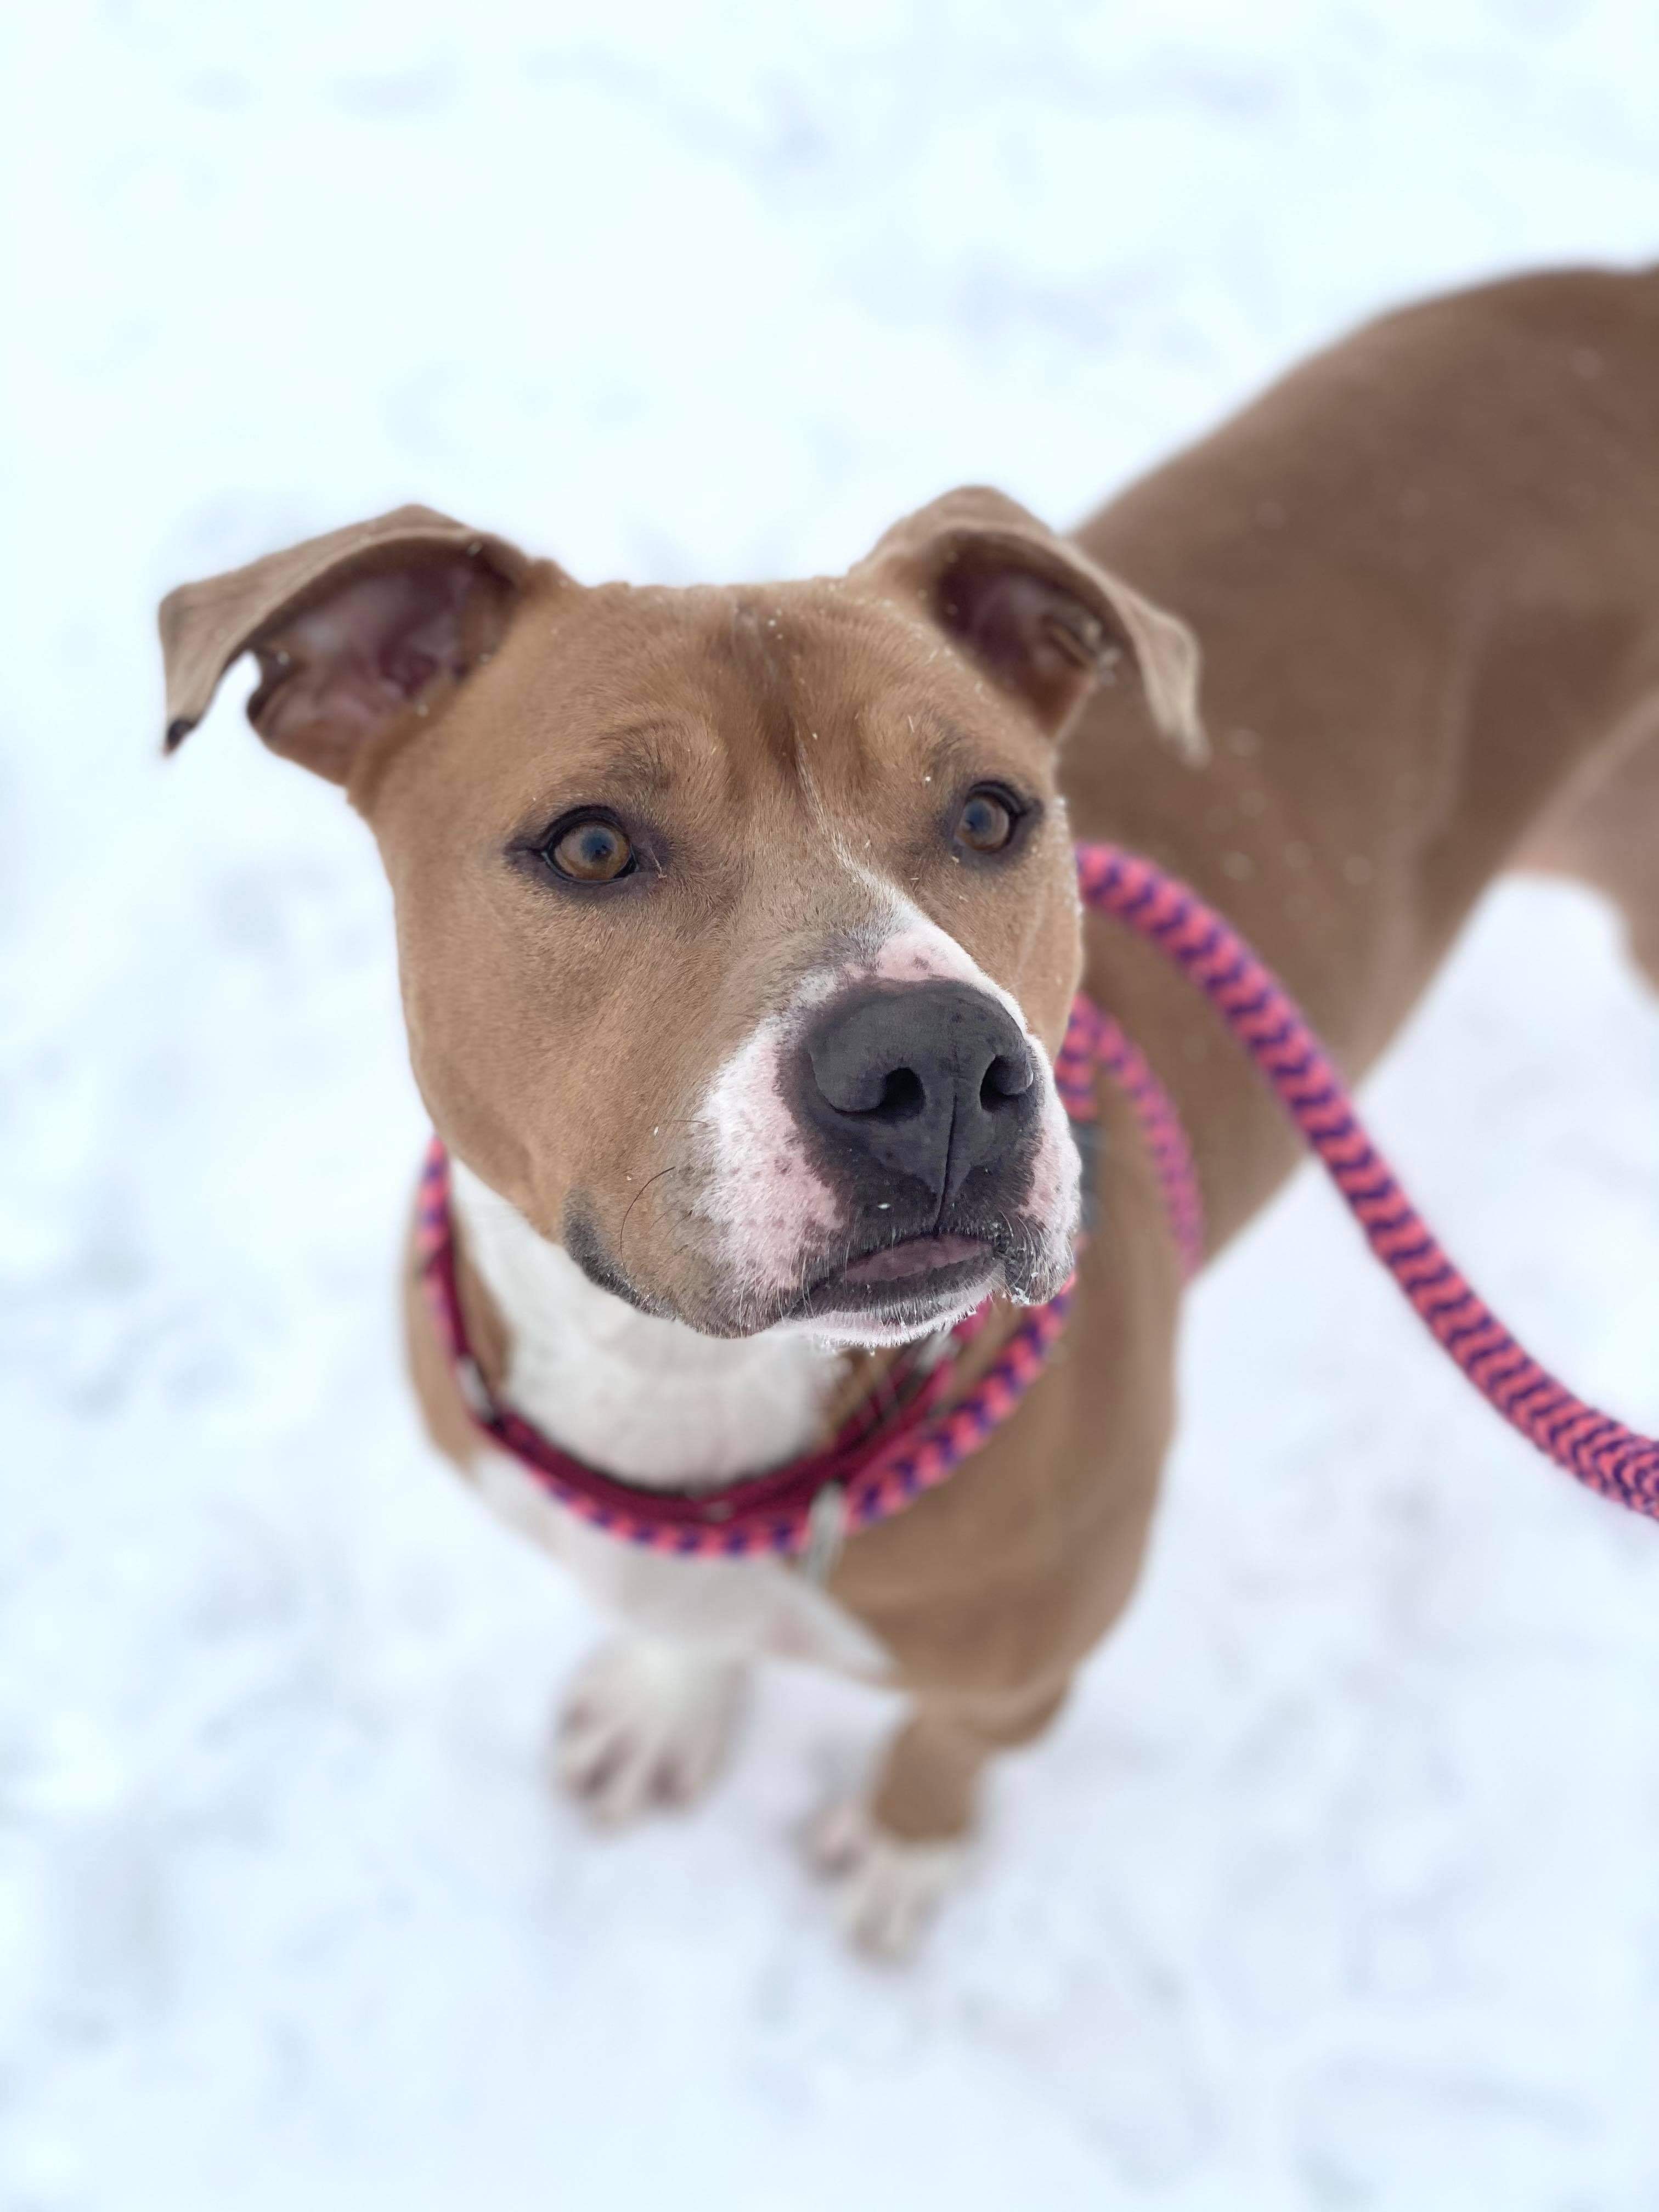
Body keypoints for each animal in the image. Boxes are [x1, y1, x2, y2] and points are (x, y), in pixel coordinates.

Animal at [159, 272, 1659, 1955]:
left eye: (995, 814)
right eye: (592, 845)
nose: (936, 1064)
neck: (686, 1399)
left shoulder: (1028, 1674)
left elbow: (947, 1743)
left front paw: (901, 1856)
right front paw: (672, 1702)